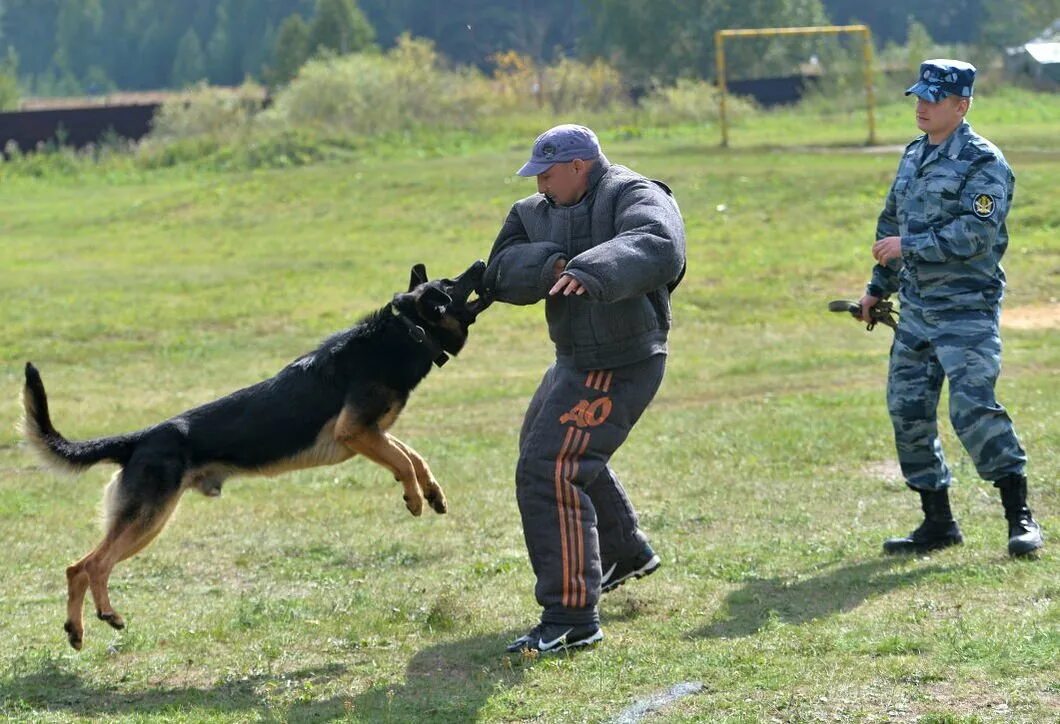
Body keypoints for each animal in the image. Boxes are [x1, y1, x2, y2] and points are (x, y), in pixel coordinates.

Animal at [20, 260, 491, 652]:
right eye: (452, 286)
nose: (481, 262)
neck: (407, 330)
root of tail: (139, 438)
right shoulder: (356, 431)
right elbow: (405, 460)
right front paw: (413, 497)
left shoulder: (372, 433)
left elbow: (413, 456)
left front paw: (431, 493)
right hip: (148, 517)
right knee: (88, 565)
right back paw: (102, 616)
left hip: (148, 521)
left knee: (81, 567)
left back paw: (79, 630)